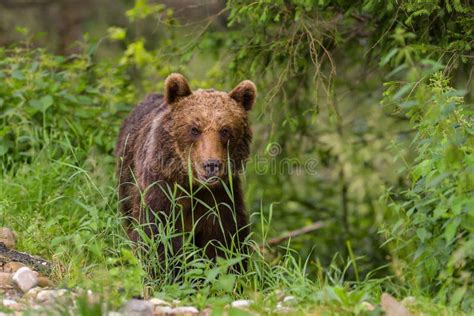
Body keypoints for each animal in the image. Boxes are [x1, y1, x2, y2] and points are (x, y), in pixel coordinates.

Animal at [115, 73, 256, 264]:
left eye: (225, 130)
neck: (192, 185)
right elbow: (157, 236)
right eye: (194, 129)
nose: (211, 165)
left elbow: (224, 241)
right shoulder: (162, 189)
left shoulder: (221, 197)